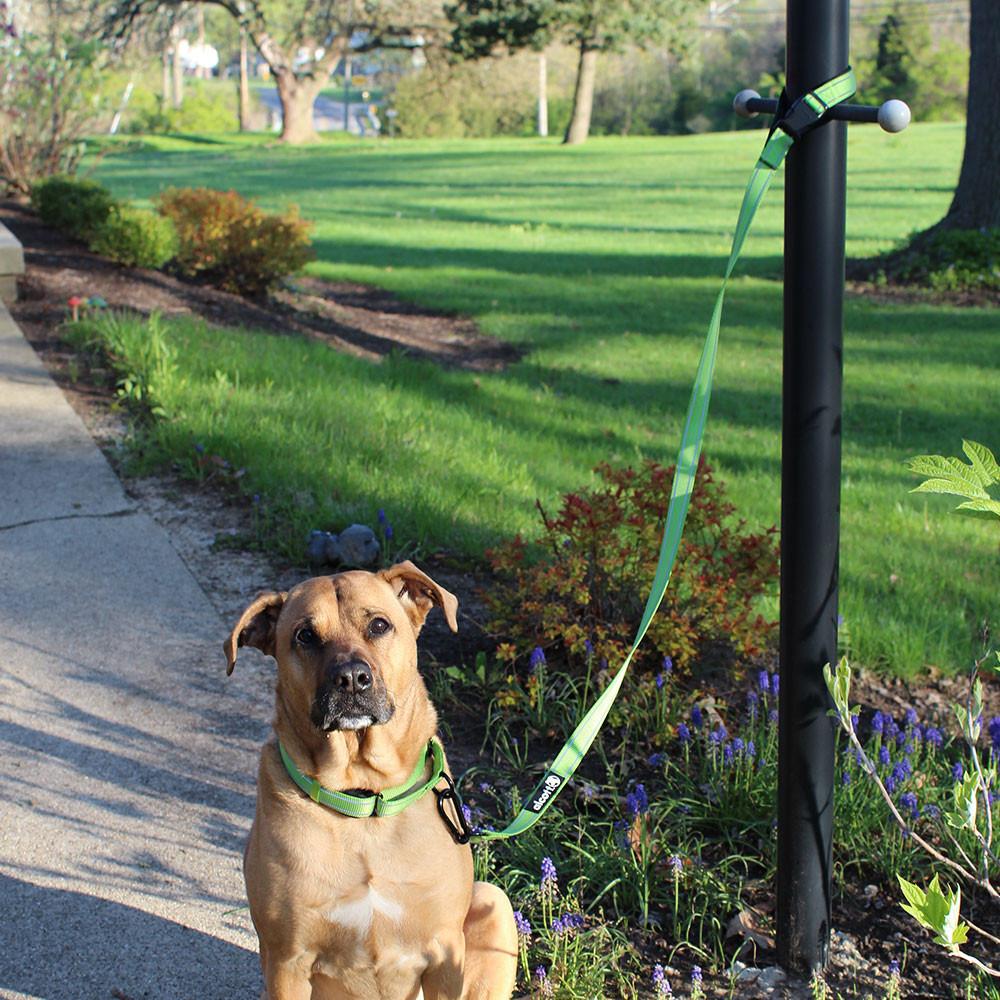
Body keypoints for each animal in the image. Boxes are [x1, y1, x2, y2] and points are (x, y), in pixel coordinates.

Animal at [225, 564, 516, 1000]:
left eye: (379, 625)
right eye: (305, 635)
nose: (350, 678)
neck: (363, 801)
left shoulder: (445, 953)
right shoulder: (286, 960)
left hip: (494, 903)